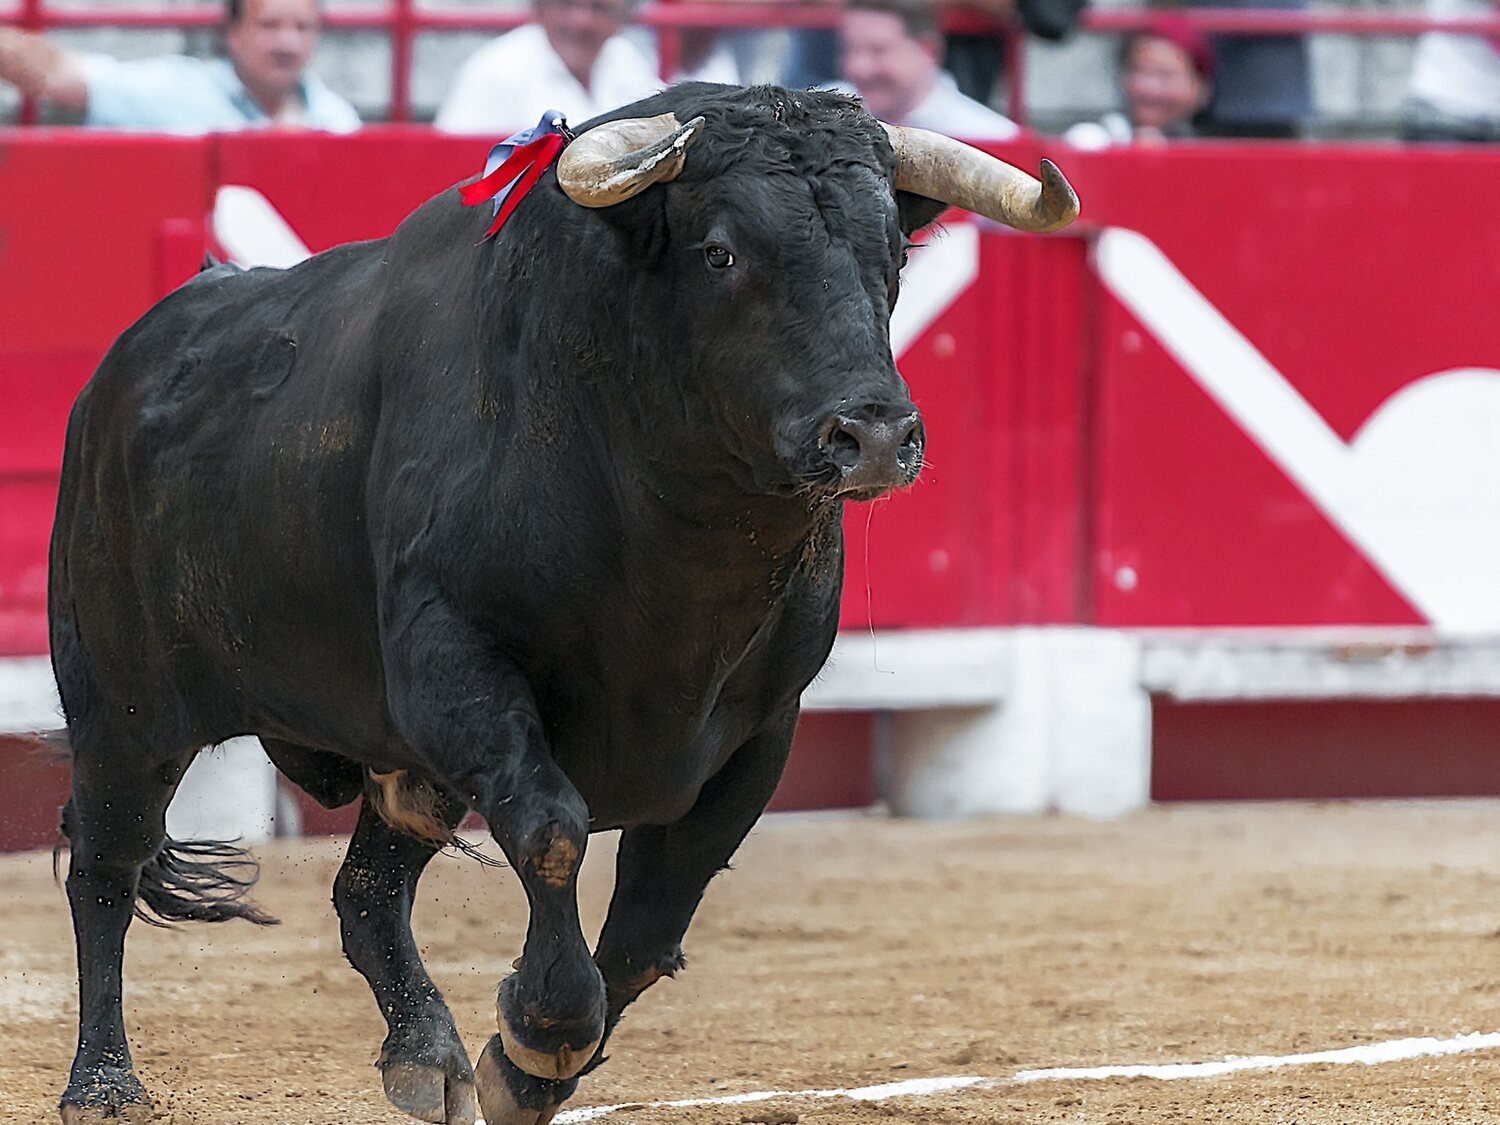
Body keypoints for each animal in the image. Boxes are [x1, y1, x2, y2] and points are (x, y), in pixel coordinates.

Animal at [41, 83, 1074, 1122]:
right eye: (720, 251)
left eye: (893, 253)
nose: (875, 434)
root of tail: (124, 366)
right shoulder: (457, 669)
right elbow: (553, 831)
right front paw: (543, 1034)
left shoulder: (760, 732)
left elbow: (652, 923)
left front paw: (527, 1069)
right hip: (126, 711)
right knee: (105, 868)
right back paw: (103, 1080)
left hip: (404, 764)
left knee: (367, 892)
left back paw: (427, 1054)